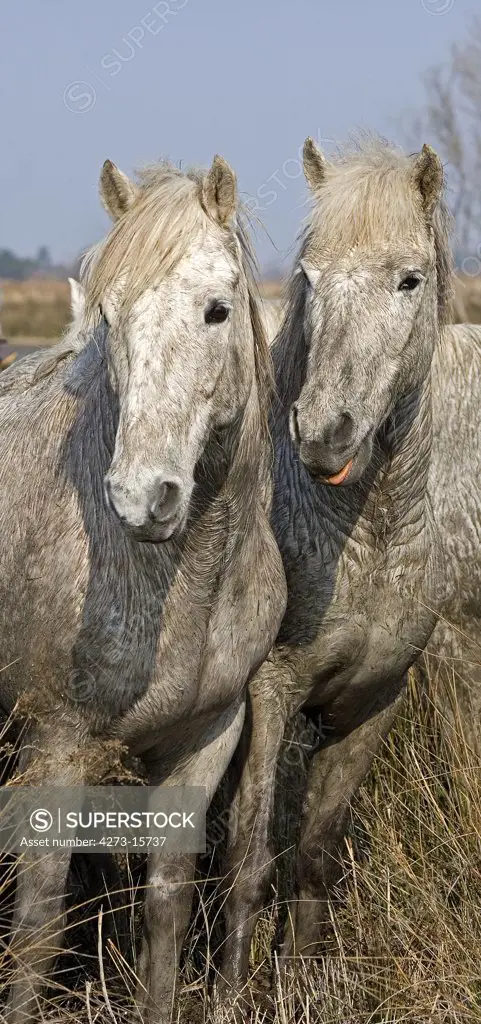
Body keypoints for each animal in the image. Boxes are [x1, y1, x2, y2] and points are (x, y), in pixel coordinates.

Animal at [0, 153, 286, 1024]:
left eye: (216, 311)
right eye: (110, 318)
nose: (140, 497)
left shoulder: (206, 740)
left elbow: (166, 907)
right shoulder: (55, 745)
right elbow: (37, 929)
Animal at [215, 134, 452, 999]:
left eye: (407, 279)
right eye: (311, 279)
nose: (322, 433)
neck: (365, 538)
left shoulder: (371, 702)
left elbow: (314, 856)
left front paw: (304, 986)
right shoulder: (269, 694)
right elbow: (250, 862)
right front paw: (227, 999)